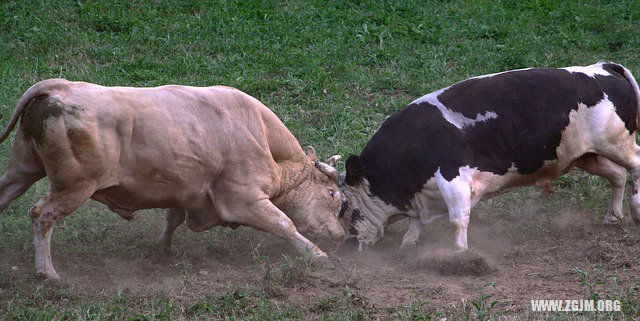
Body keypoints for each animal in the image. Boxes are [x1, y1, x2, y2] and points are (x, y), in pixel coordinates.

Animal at [0, 79, 344, 278]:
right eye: (332, 194)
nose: (340, 235)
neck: (257, 131)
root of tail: (57, 87)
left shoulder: (187, 192)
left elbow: (173, 218)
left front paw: (163, 247)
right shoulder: (244, 199)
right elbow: (283, 224)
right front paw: (319, 256)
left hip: (22, 170)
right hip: (73, 186)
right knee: (42, 215)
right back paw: (48, 272)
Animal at [340, 60, 640, 250]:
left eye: (345, 208)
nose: (348, 244)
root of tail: (602, 68)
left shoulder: (454, 178)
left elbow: (458, 220)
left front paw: (459, 255)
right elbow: (415, 222)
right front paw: (409, 243)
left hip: (616, 144)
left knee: (635, 165)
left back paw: (635, 210)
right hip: (587, 155)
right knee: (617, 175)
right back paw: (613, 217)